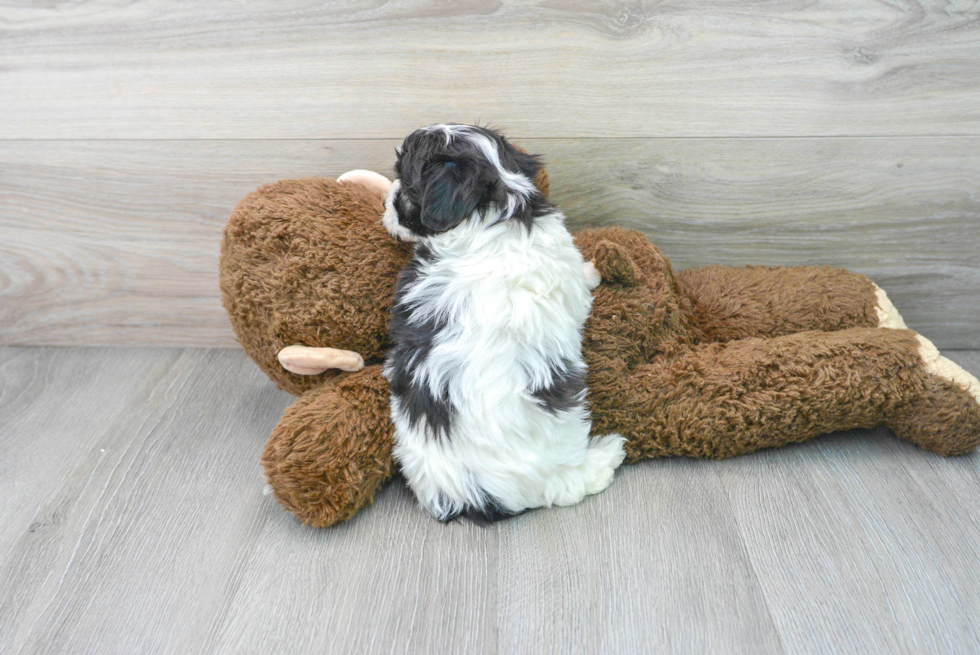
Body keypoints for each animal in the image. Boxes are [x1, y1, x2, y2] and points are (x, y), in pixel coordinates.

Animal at [378, 124, 624, 524]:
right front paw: (594, 272)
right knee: (569, 486)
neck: (493, 211)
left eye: (404, 180)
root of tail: (481, 495)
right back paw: (606, 456)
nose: (385, 202)